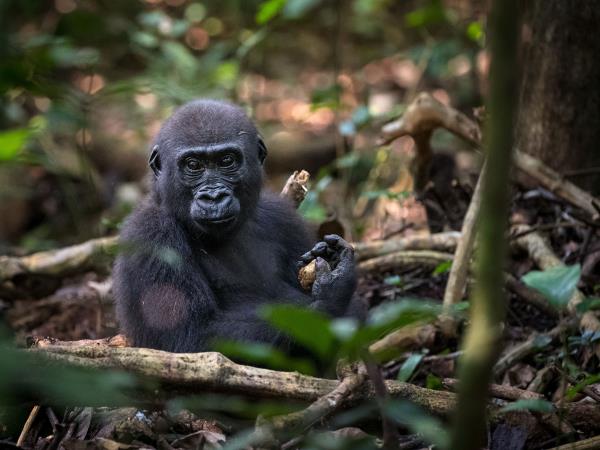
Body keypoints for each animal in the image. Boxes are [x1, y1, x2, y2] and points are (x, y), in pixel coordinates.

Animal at [114, 99, 364, 352]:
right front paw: (332, 293)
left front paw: (335, 261)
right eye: (193, 165)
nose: (214, 197)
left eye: (227, 161)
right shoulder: (150, 234)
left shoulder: (284, 217)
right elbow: (190, 337)